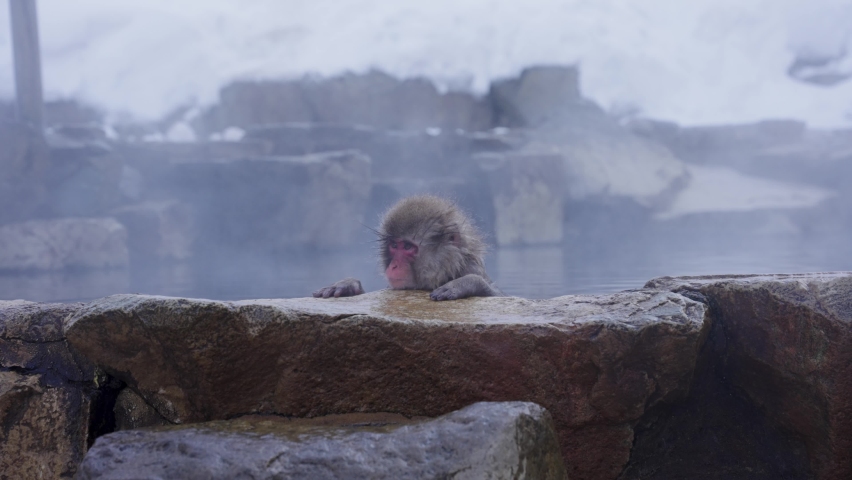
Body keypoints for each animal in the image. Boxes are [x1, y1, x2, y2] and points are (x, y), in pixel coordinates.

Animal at [313, 195, 502, 301]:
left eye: (407, 246)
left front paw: (464, 284)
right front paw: (348, 285)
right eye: (394, 245)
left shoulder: (471, 268)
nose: (393, 266)